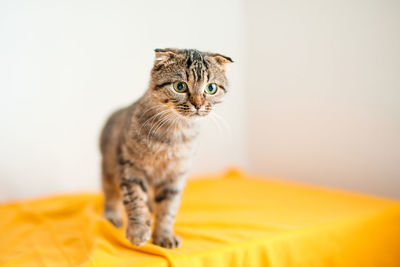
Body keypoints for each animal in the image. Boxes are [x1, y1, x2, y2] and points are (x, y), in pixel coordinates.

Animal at [98, 48, 233, 249]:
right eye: (180, 86)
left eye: (211, 88)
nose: (198, 105)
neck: (173, 135)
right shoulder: (130, 167)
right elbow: (135, 200)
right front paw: (138, 230)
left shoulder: (176, 175)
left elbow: (168, 209)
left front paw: (164, 235)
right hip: (108, 166)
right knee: (111, 194)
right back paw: (113, 216)